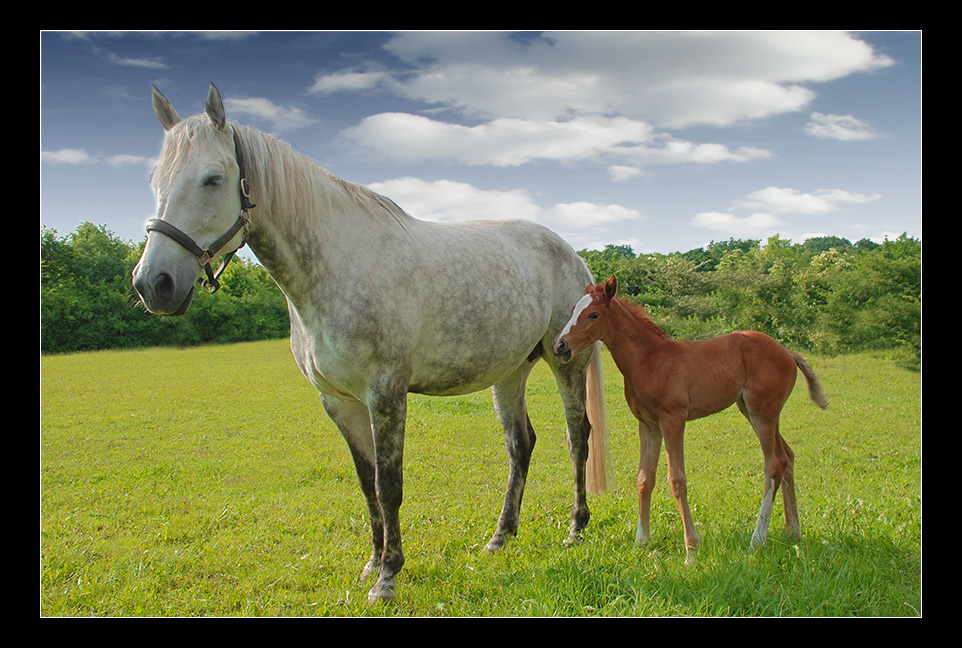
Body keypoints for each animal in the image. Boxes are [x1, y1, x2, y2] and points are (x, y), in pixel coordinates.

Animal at [131, 83, 604, 604]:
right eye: (155, 179)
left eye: (213, 179)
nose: (154, 284)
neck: (337, 263)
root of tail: (573, 255)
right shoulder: (339, 401)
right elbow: (366, 483)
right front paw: (373, 563)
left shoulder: (386, 394)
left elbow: (389, 484)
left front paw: (389, 577)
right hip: (511, 372)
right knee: (520, 446)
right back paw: (501, 537)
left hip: (567, 364)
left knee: (577, 436)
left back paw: (577, 528)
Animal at [552, 274, 828, 560]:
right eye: (572, 311)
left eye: (593, 314)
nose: (560, 345)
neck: (650, 360)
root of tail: (788, 353)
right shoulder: (648, 425)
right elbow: (644, 479)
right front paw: (641, 542)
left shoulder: (673, 419)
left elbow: (677, 480)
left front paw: (691, 550)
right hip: (754, 410)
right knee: (788, 456)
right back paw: (793, 531)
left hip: (763, 412)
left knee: (774, 464)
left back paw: (757, 538)